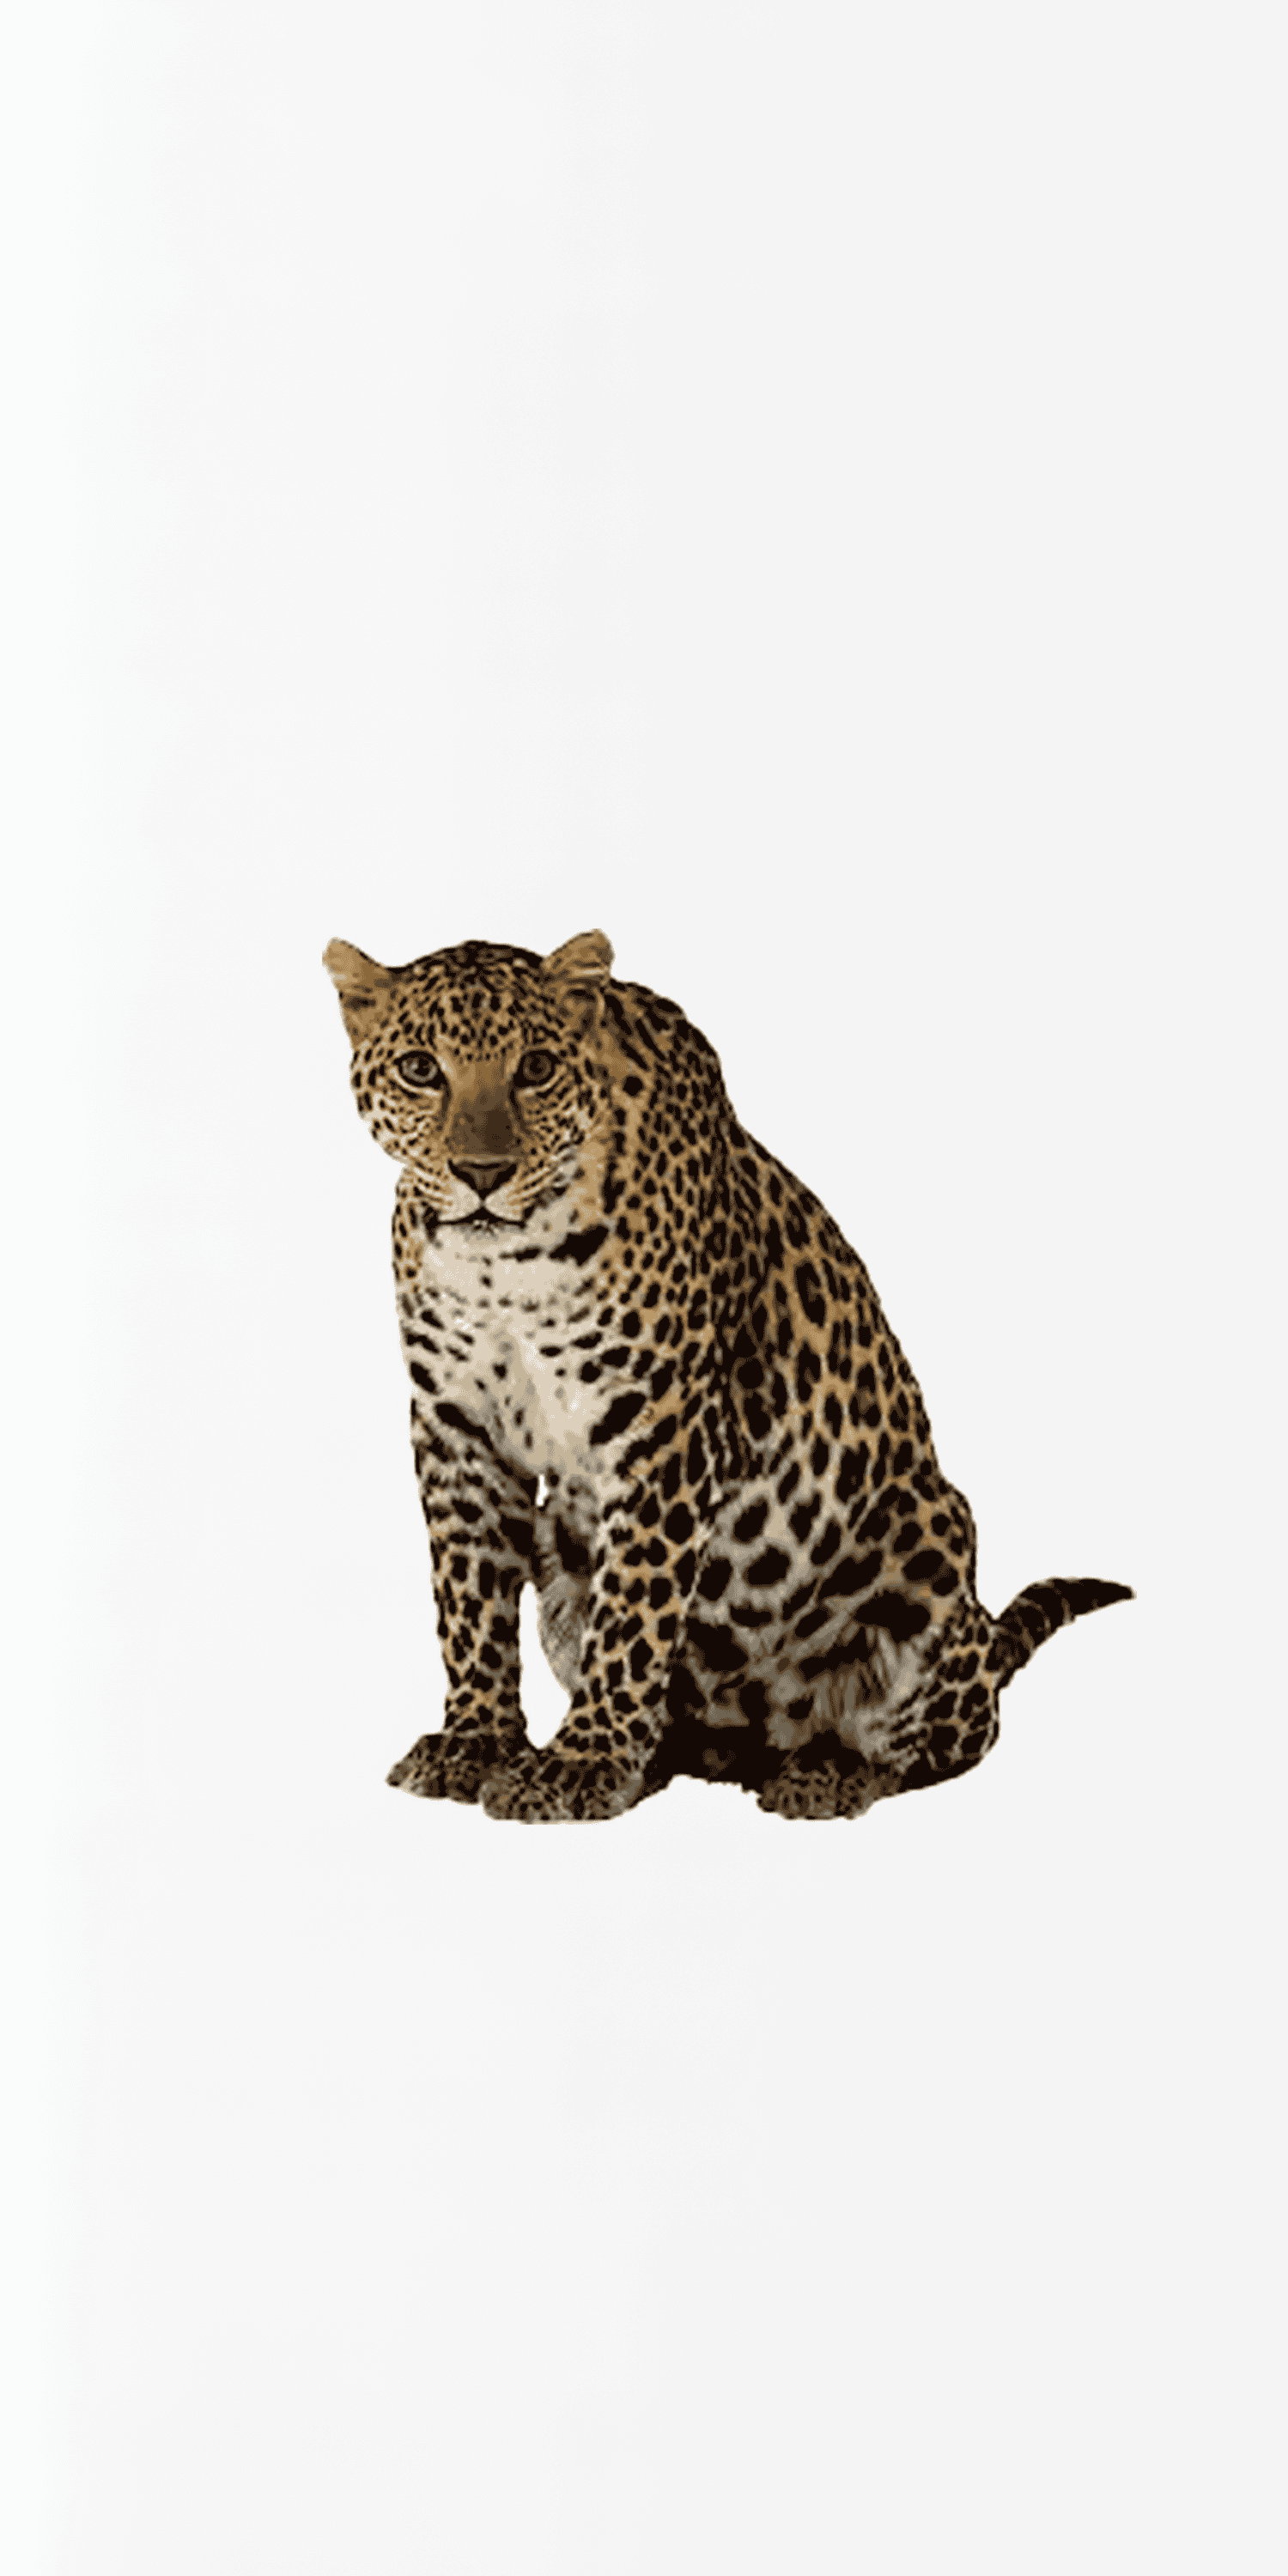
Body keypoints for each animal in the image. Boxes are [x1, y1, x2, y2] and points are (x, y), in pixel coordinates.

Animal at [324, 927, 1132, 1823]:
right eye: (420, 1070)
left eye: (535, 1067)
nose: (481, 1172)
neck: (505, 1266)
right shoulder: (456, 1425)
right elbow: (468, 1597)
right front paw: (477, 1742)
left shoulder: (663, 1425)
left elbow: (634, 1609)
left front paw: (581, 1762)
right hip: (563, 1553)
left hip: (930, 1535)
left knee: (947, 1742)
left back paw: (827, 1770)